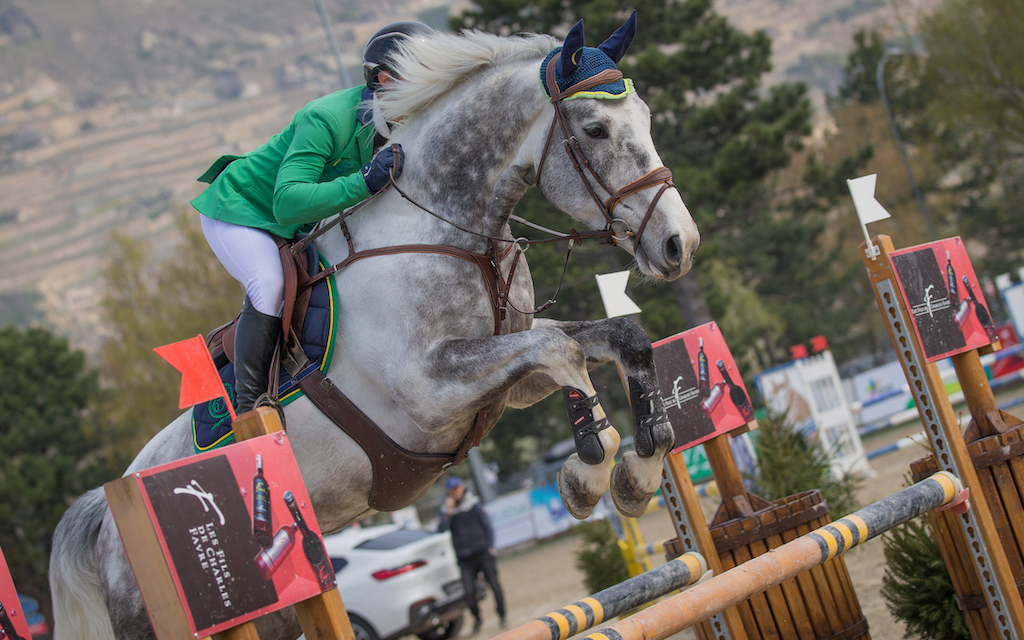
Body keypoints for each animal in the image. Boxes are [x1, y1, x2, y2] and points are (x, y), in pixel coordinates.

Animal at [51, 16, 700, 638]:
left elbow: (616, 341)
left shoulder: (508, 381)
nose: (680, 244)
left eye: (644, 116)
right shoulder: (428, 393)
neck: (448, 230)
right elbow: (559, 348)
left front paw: (639, 474)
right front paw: (586, 477)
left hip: (278, 612)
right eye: (594, 129)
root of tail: (107, 510)